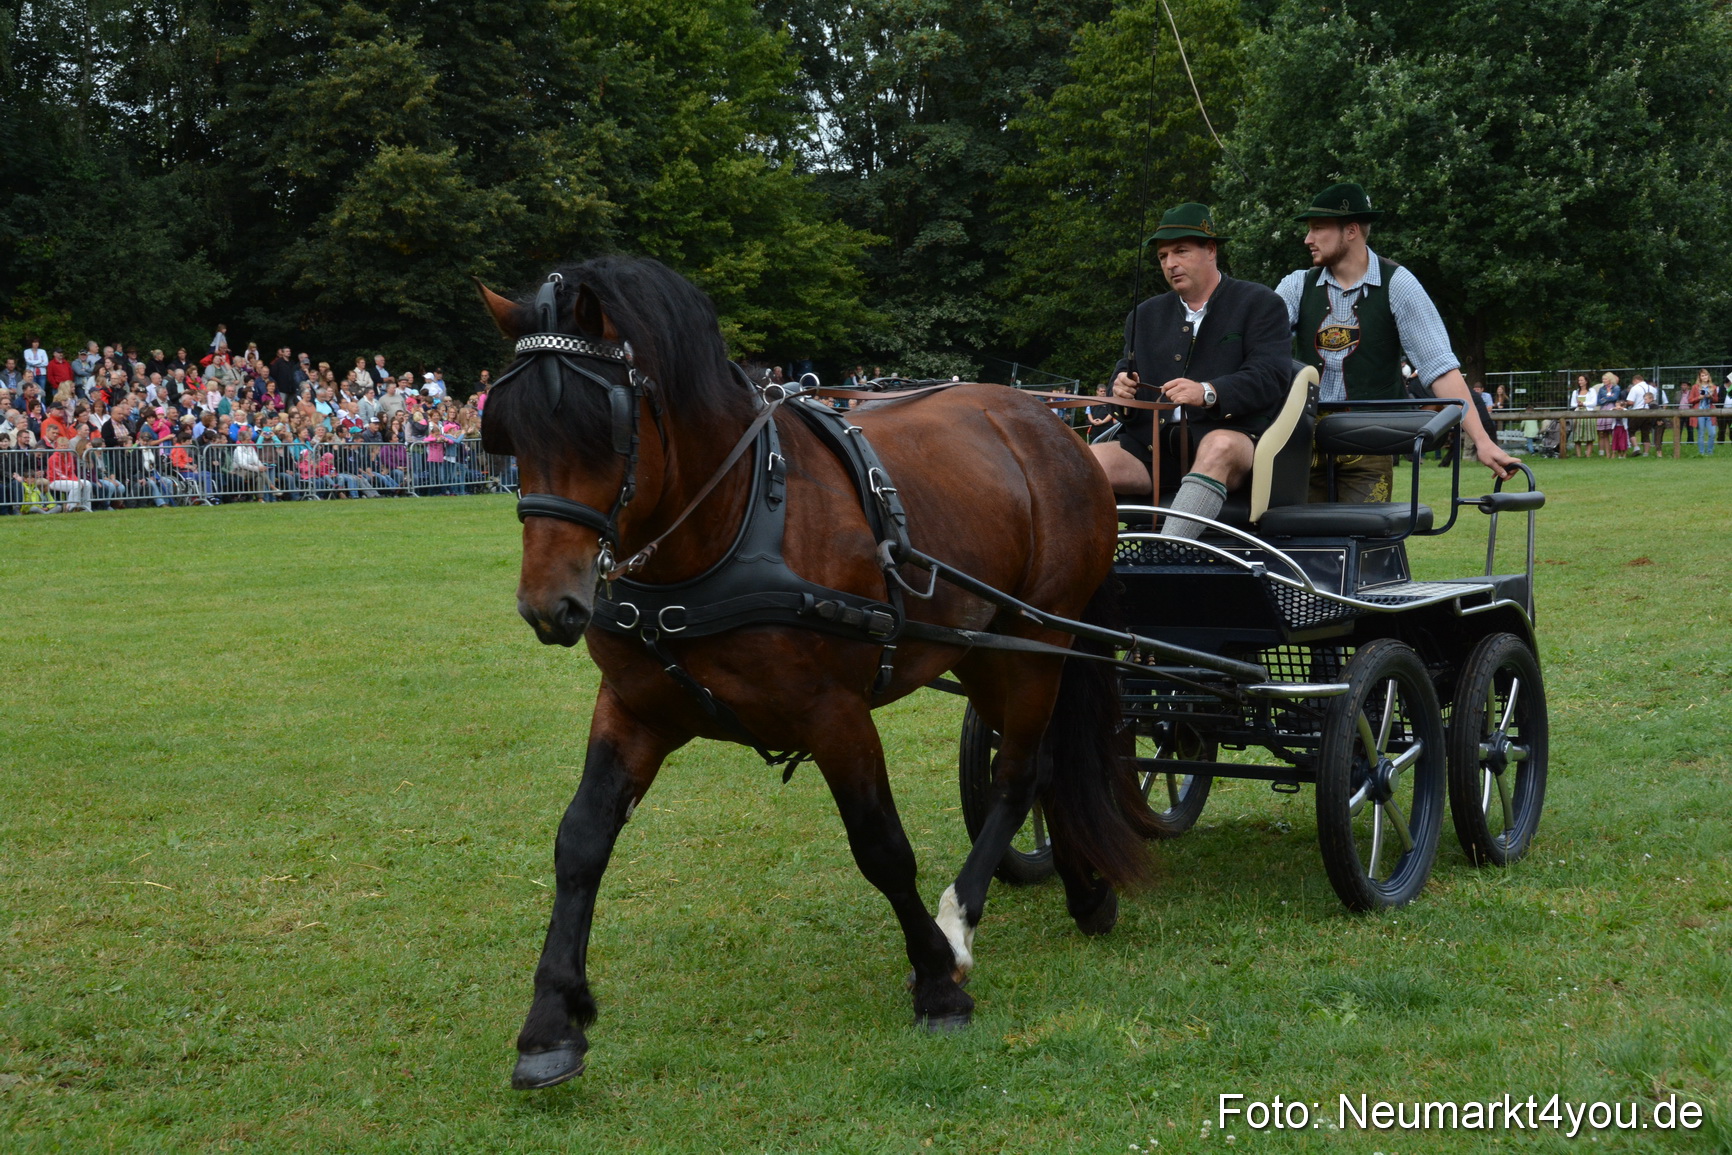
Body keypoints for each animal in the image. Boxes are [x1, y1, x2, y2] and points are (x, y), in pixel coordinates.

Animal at [476, 255, 1160, 1089]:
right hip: (985, 648)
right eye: (507, 432)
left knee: (1022, 772)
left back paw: (966, 919)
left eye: (600, 427)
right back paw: (1086, 890)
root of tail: (1055, 427)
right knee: (1050, 763)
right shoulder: (635, 708)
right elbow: (580, 840)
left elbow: (880, 843)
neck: (729, 526)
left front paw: (936, 981)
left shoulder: (835, 713)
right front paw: (551, 1021)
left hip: (1038, 637)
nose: (549, 605)